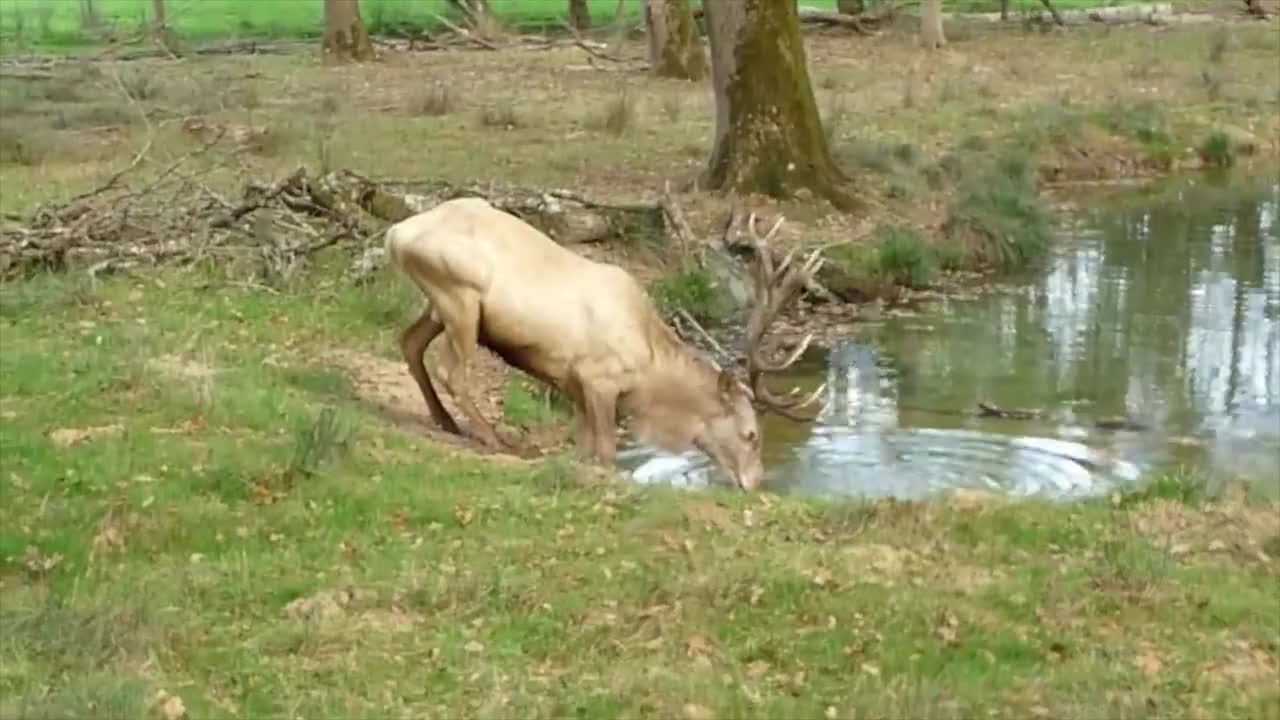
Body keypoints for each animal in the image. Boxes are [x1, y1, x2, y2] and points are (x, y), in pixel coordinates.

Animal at [383, 196, 825, 491]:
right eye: (751, 435)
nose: (755, 483)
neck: (650, 374)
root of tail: (395, 234)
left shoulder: (575, 388)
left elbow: (584, 452)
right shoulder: (598, 379)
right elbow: (607, 456)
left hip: (439, 303)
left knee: (409, 342)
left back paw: (446, 421)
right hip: (459, 295)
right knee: (451, 370)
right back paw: (493, 438)